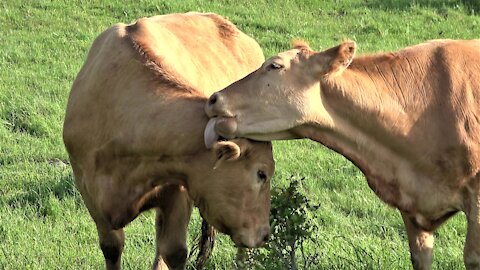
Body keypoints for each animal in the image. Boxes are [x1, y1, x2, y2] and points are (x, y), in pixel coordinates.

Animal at [63, 12, 274, 270]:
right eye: (261, 174)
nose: (265, 234)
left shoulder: (179, 189)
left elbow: (174, 252)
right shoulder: (90, 192)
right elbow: (112, 247)